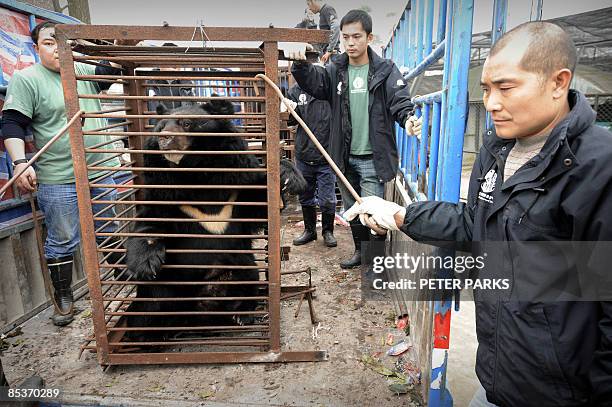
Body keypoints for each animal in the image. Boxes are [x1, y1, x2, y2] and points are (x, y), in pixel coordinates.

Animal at [123, 98, 306, 342]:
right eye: (160, 127)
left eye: (187, 123)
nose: (165, 139)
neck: (197, 174)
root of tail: (198, 315)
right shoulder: (165, 193)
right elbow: (149, 221)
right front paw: (145, 265)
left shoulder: (235, 188)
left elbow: (259, 203)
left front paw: (287, 177)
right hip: (167, 286)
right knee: (149, 306)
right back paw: (146, 335)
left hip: (241, 270)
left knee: (249, 280)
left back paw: (242, 315)